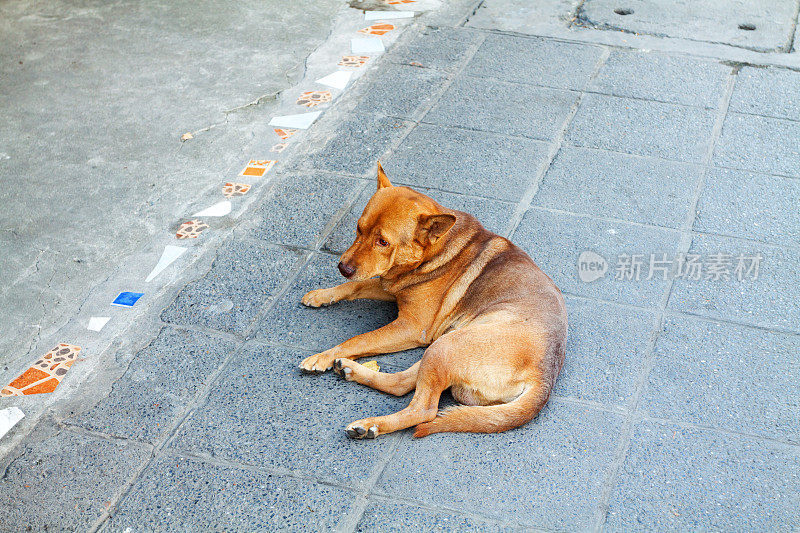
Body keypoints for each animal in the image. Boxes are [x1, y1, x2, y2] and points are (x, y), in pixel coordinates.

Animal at [300, 164, 568, 438]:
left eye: (383, 242)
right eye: (358, 228)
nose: (342, 267)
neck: (438, 248)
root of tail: (543, 378)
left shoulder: (411, 327)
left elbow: (358, 339)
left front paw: (323, 356)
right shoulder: (392, 286)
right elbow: (355, 285)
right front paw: (321, 295)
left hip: (445, 347)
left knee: (423, 409)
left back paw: (370, 424)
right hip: (440, 348)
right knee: (401, 384)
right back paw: (352, 372)